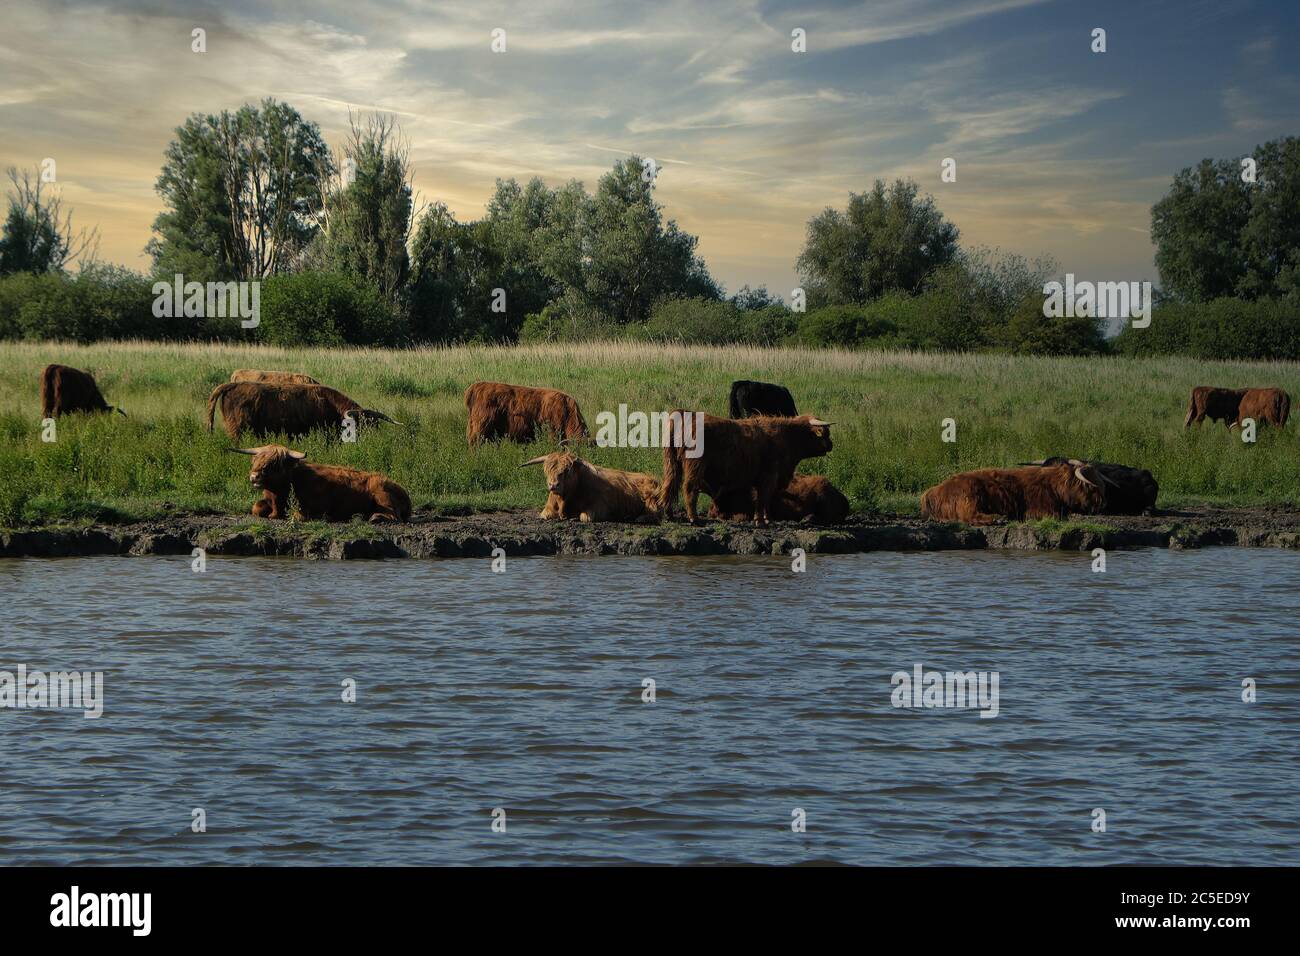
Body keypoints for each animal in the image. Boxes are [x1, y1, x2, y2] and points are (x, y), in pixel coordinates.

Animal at [520, 450, 660, 522]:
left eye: (567, 471)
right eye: (548, 470)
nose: (553, 485)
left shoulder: (600, 506)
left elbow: (584, 517)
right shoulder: (548, 508)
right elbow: (545, 515)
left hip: (651, 499)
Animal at [660, 413, 832, 528]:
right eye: (824, 434)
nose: (831, 445)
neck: (787, 438)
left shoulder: (769, 479)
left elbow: (766, 499)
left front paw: (768, 518)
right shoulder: (768, 476)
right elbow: (763, 498)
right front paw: (760, 521)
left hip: (671, 463)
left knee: (669, 485)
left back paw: (669, 514)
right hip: (695, 466)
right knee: (689, 489)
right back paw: (694, 519)